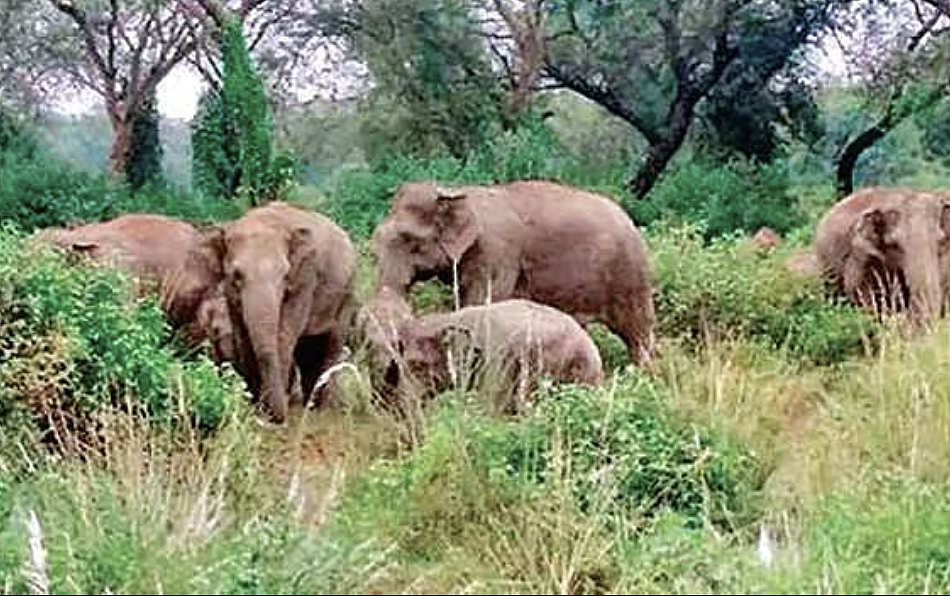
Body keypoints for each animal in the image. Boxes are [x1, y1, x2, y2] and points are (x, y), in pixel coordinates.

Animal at [161, 201, 358, 424]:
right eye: (237, 275)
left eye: (285, 275)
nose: (277, 417)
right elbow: (243, 335)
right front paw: (254, 406)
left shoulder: (305, 279)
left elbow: (285, 333)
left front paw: (267, 409)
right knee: (308, 350)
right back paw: (308, 403)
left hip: (347, 293)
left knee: (331, 344)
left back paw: (318, 407)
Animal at [370, 180, 657, 368]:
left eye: (410, 242)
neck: (456, 192)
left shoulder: (496, 253)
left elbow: (479, 304)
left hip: (629, 272)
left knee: (637, 332)